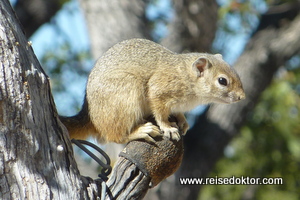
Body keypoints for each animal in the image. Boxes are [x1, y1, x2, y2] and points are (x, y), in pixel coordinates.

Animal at [59, 38, 245, 144]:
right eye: (222, 81)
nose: (242, 97)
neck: (186, 76)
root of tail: (92, 116)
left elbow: (176, 112)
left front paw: (182, 120)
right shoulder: (160, 88)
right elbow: (160, 112)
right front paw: (168, 127)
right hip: (125, 96)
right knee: (115, 137)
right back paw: (140, 132)